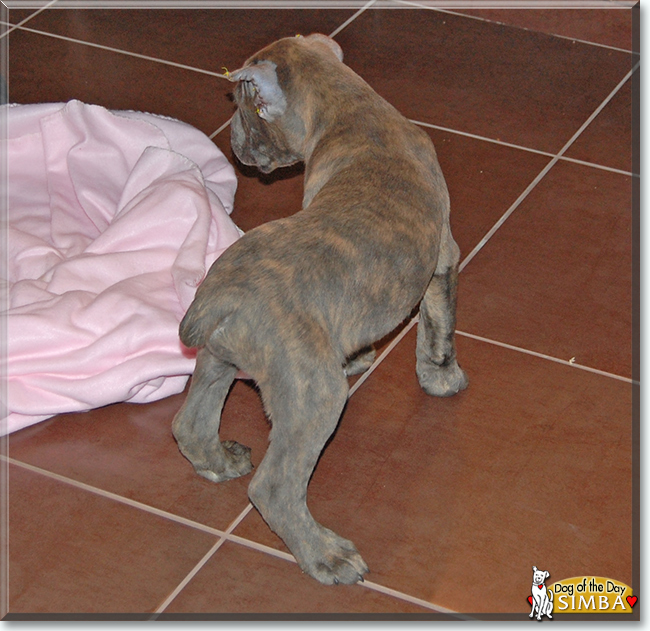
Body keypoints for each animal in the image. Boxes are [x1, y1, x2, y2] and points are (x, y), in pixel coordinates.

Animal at [172, 33, 466, 588]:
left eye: (244, 107)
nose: (234, 144)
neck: (353, 110)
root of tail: (220, 297)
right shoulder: (443, 256)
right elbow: (439, 326)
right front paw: (442, 378)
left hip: (219, 359)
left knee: (190, 422)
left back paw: (218, 461)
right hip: (315, 395)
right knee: (275, 488)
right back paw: (326, 555)